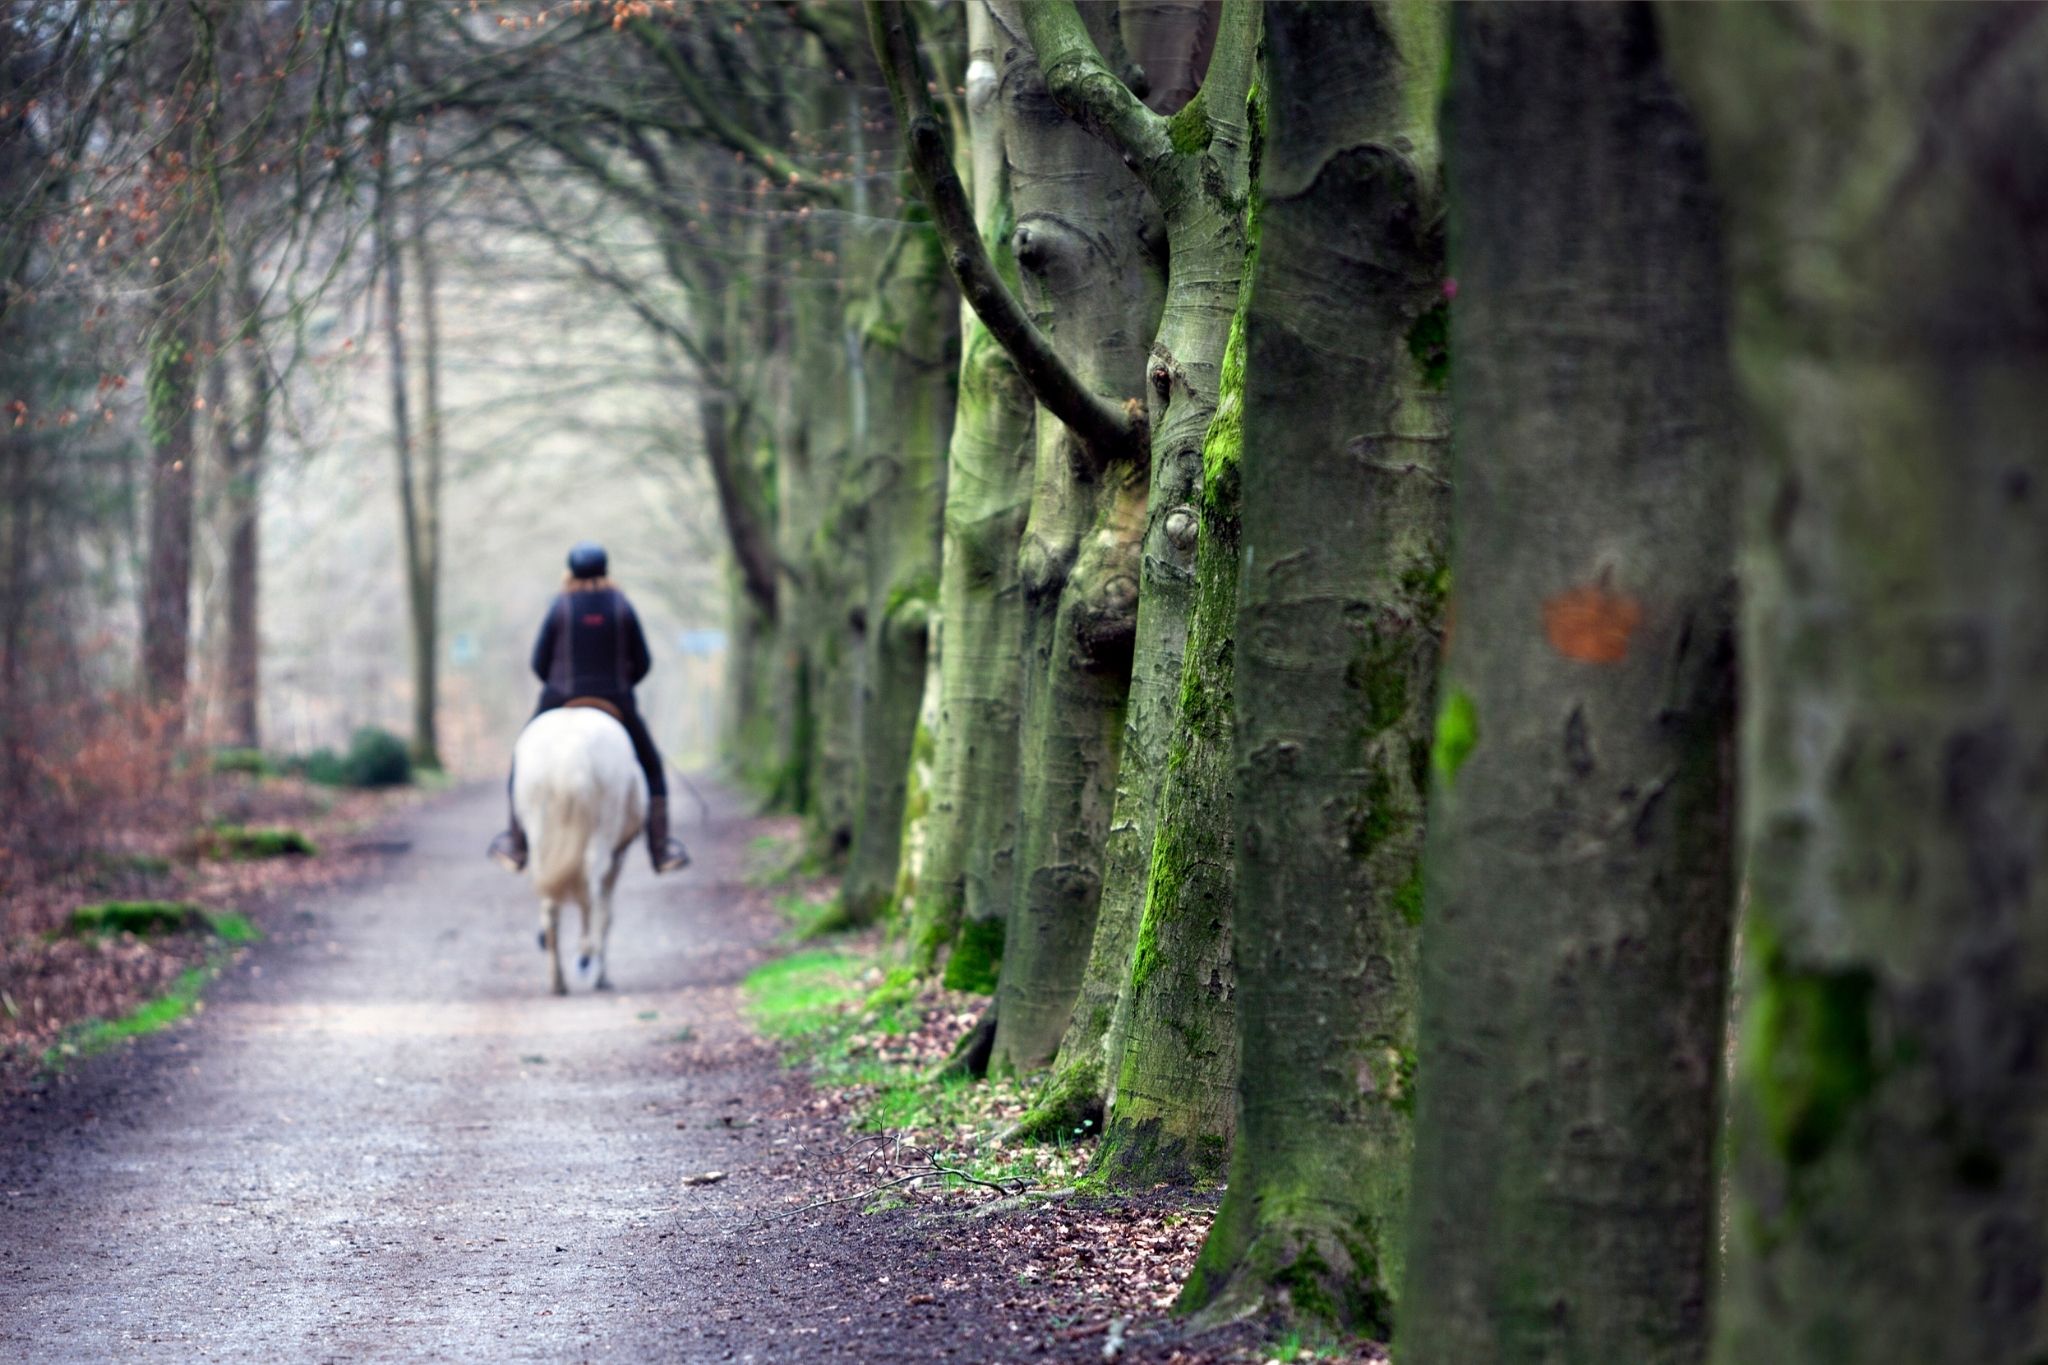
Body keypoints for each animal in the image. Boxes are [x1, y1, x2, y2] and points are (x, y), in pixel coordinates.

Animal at [511, 704, 647, 995]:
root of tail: (569, 751)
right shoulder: (618, 856)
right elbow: (606, 914)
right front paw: (601, 977)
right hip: (604, 832)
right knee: (591, 893)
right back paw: (586, 956)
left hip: (539, 835)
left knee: (553, 907)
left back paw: (558, 982)